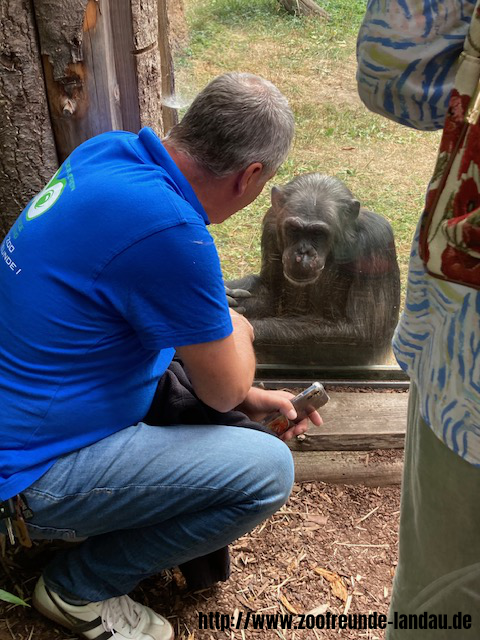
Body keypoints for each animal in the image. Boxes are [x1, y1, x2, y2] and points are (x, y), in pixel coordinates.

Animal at [227, 172, 400, 364]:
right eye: (294, 229)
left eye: (318, 233)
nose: (303, 252)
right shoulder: (272, 224)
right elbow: (270, 292)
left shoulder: (376, 243)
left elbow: (363, 331)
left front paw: (242, 327)